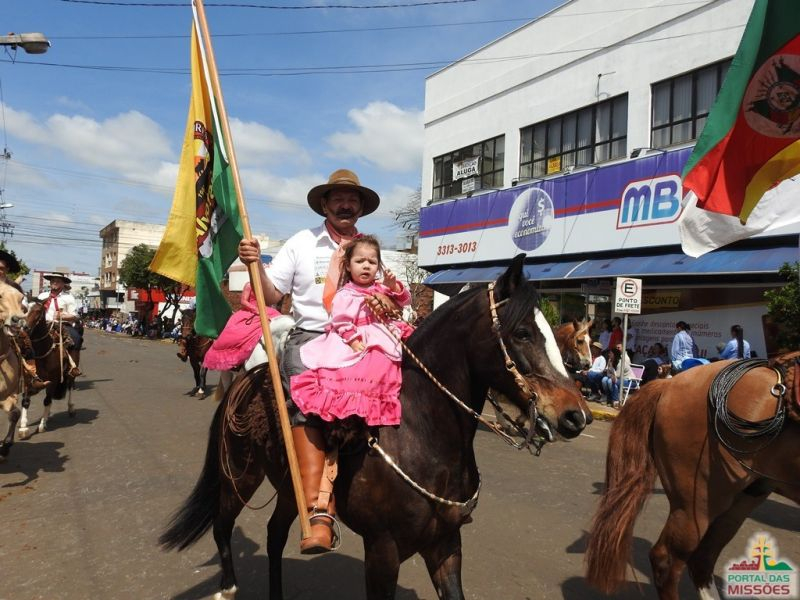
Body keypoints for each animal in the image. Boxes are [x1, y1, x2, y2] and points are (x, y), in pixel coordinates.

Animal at [19, 302, 81, 438]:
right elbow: (25, 401)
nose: (24, 328)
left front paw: (41, 425)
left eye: (38, 311)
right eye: (24, 309)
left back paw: (71, 408)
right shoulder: (29, 379)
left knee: (69, 386)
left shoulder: (53, 380)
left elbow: (46, 401)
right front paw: (23, 428)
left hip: (70, 374)